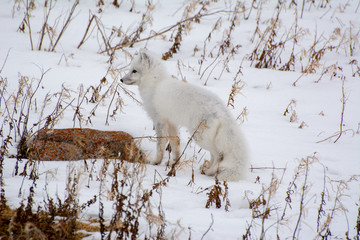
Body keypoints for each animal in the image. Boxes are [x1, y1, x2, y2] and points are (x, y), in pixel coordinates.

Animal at [121, 49, 248, 181]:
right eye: (131, 69)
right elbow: (175, 143)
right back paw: (207, 169)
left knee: (219, 155)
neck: (155, 85)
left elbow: (160, 145)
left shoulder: (159, 120)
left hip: (199, 137)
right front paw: (174, 163)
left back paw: (210, 172)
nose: (121, 79)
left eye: (134, 71)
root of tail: (221, 109)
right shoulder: (171, 122)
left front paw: (156, 162)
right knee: (214, 155)